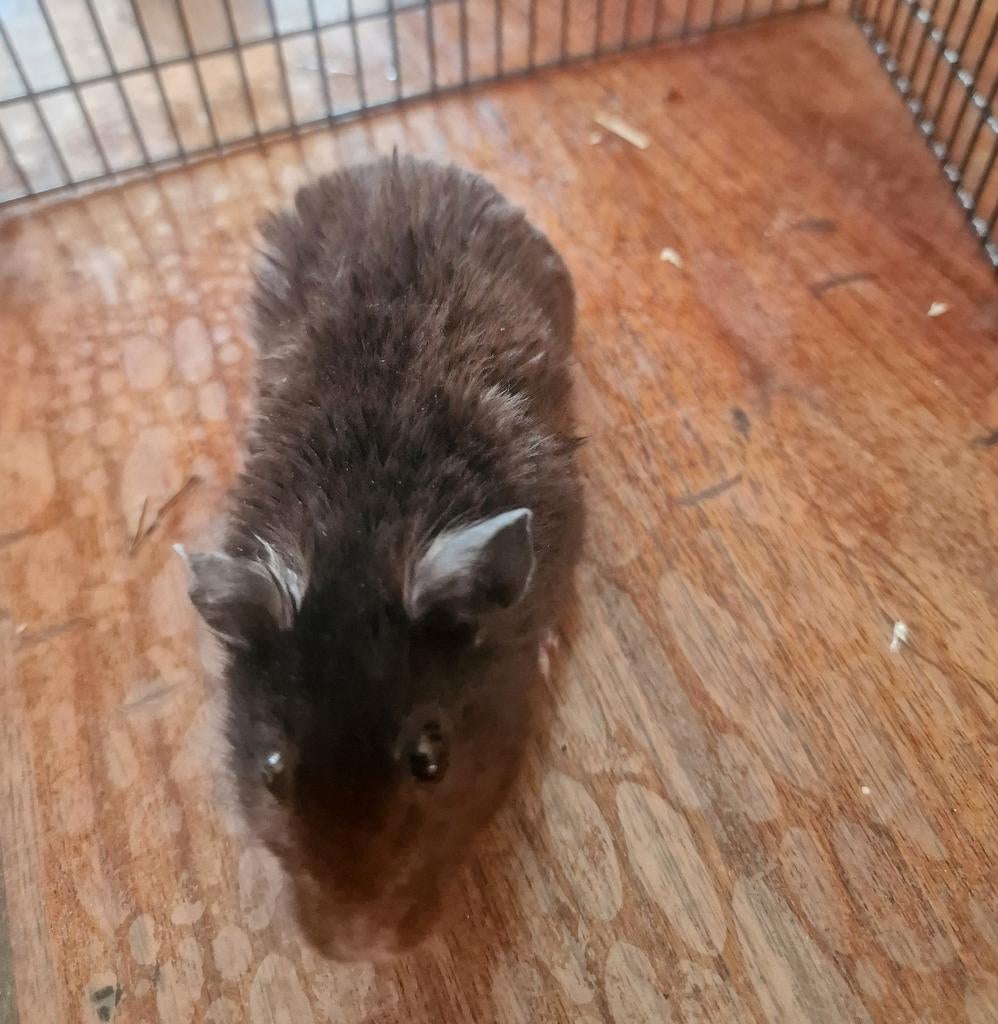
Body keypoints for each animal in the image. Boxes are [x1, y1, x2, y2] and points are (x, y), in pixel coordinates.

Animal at [182, 156, 583, 962]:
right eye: (271, 769)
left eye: (431, 760)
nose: (353, 950)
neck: (362, 527)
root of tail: (392, 159)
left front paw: (549, 648)